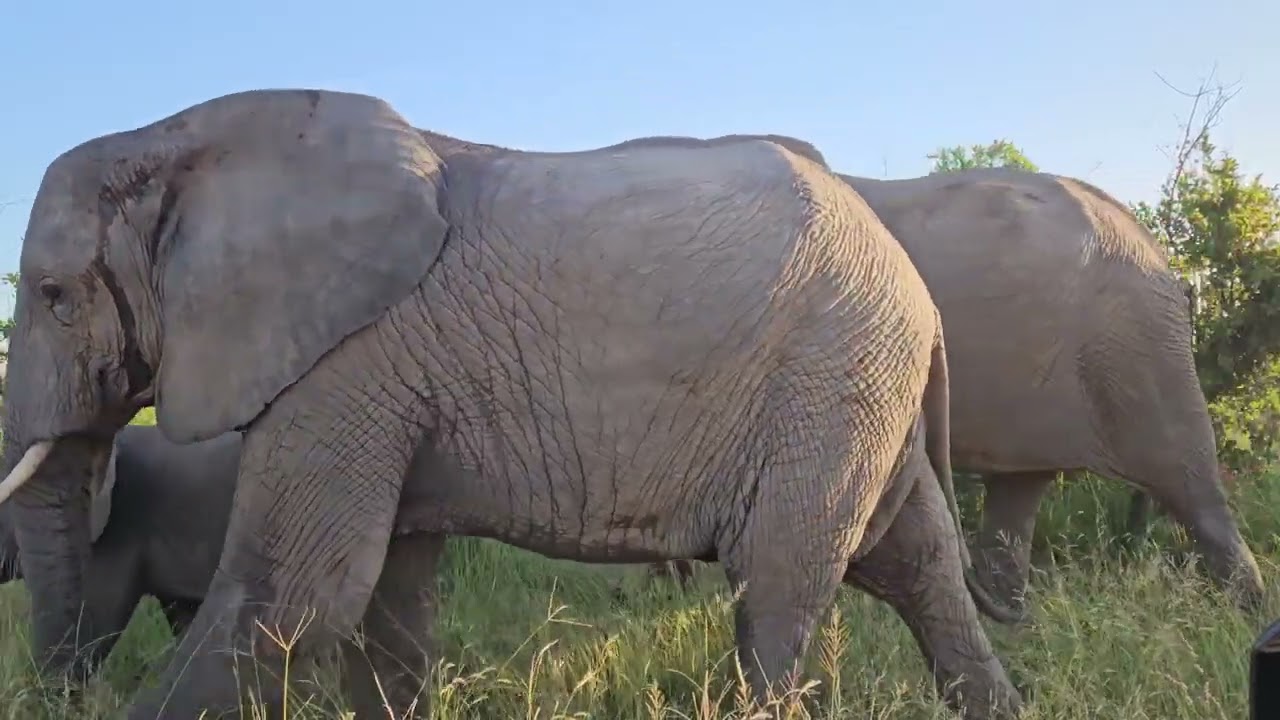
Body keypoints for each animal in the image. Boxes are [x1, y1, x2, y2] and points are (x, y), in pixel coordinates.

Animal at [0, 88, 1021, 719]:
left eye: (53, 297)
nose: (59, 693)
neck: (176, 135)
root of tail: (913, 286)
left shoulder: (349, 360)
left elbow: (291, 596)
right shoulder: (378, 377)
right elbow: (385, 607)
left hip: (830, 376)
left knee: (776, 590)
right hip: (861, 384)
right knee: (917, 564)